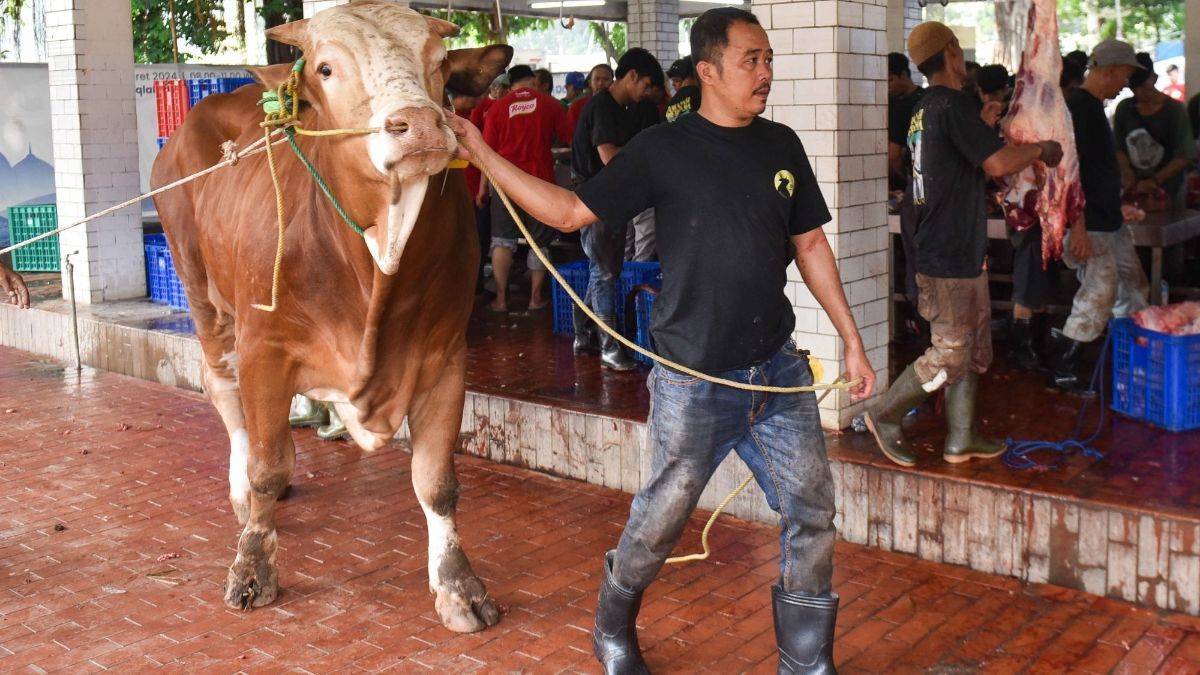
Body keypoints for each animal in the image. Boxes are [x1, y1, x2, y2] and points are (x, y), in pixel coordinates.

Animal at [150, 1, 511, 629]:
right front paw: (252, 566)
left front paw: (458, 586)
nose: (419, 125)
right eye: (325, 67)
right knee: (224, 392)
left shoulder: (444, 354)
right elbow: (267, 465)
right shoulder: (264, 349)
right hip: (203, 294)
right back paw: (242, 493)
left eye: (440, 63)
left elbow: (437, 482)